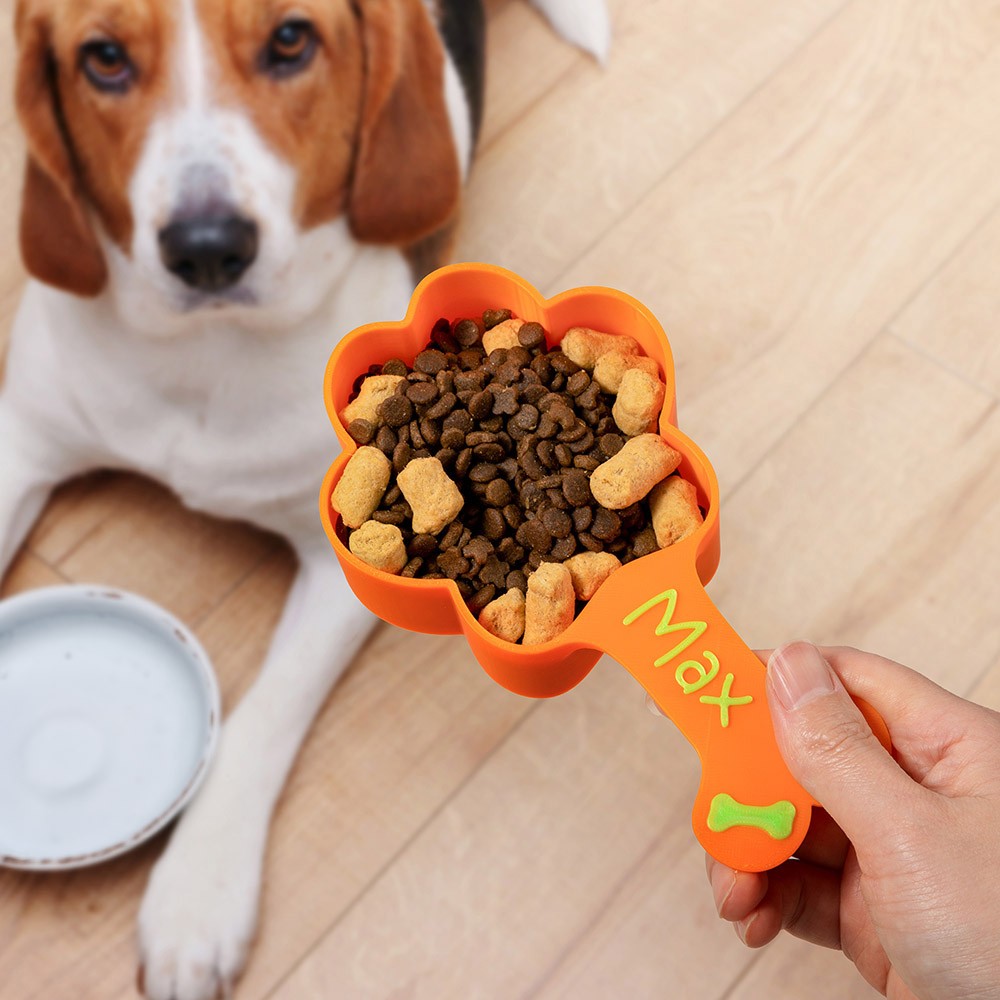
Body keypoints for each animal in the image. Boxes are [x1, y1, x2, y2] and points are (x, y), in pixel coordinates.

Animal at [3, 1, 604, 1000]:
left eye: (290, 39)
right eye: (104, 58)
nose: (207, 248)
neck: (202, 363)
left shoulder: (347, 558)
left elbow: (265, 714)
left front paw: (197, 896)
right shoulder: (22, 441)